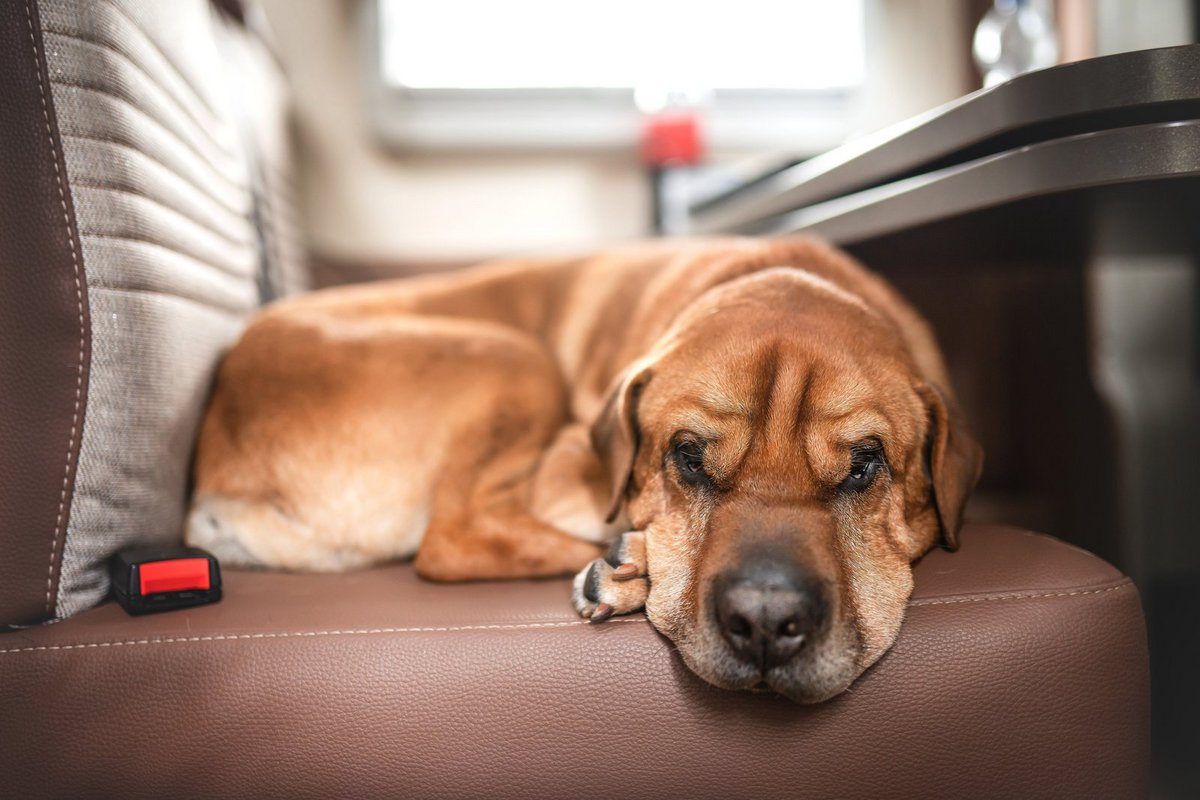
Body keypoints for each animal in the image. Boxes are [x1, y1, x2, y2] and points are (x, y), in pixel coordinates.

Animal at [184, 236, 974, 700]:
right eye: (688, 458)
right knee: (451, 540)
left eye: (865, 467)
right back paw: (625, 567)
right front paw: (635, 560)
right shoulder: (566, 458)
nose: (762, 620)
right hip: (511, 357)